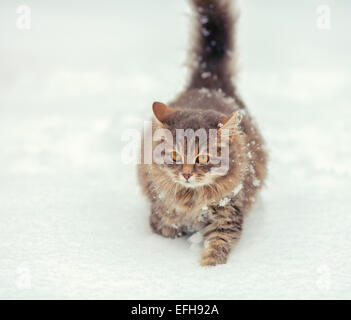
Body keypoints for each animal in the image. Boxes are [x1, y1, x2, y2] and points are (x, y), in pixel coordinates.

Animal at [139, 0, 268, 266]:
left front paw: (208, 271)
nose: (187, 174)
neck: (191, 199)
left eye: (204, 158)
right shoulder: (162, 214)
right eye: (175, 156)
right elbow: (165, 230)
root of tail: (208, 84)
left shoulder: (227, 214)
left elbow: (216, 247)